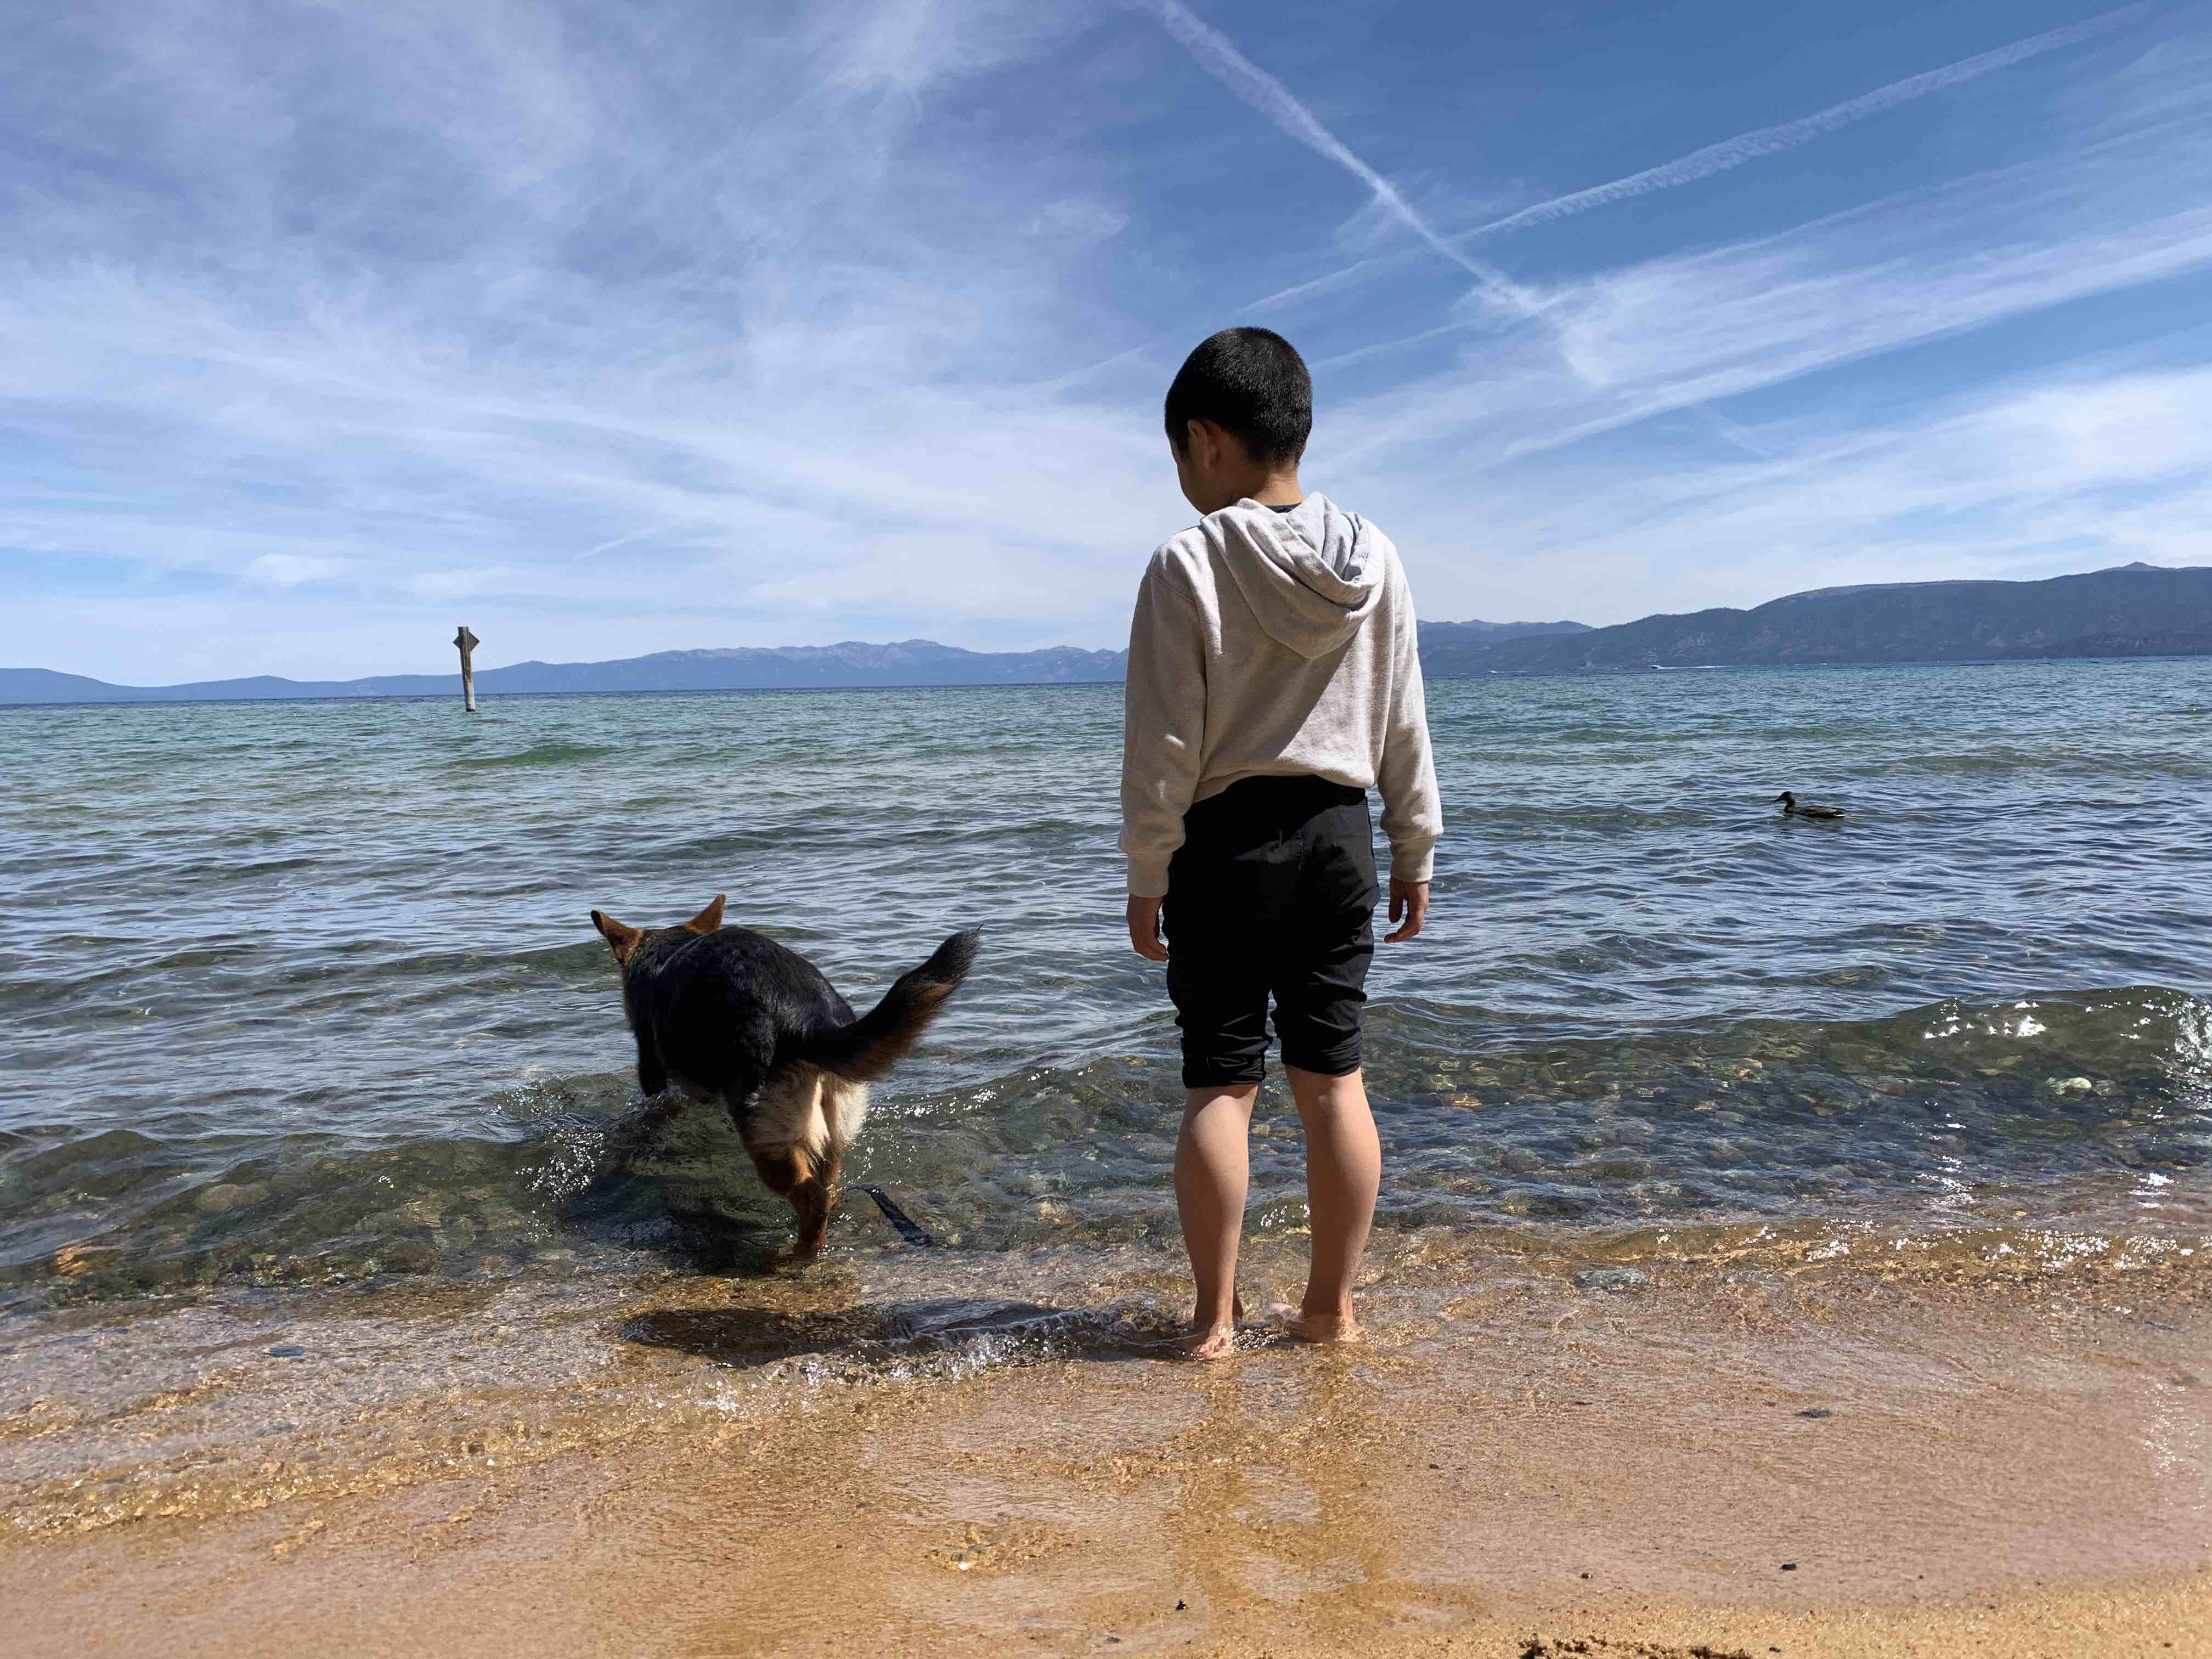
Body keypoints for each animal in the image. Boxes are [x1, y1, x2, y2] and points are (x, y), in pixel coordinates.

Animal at [588, 898, 978, 1256]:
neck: (672, 949)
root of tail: (808, 1018)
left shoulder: (661, 1076)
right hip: (831, 1129)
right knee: (828, 1187)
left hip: (769, 1142)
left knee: (810, 1196)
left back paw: (800, 1254)